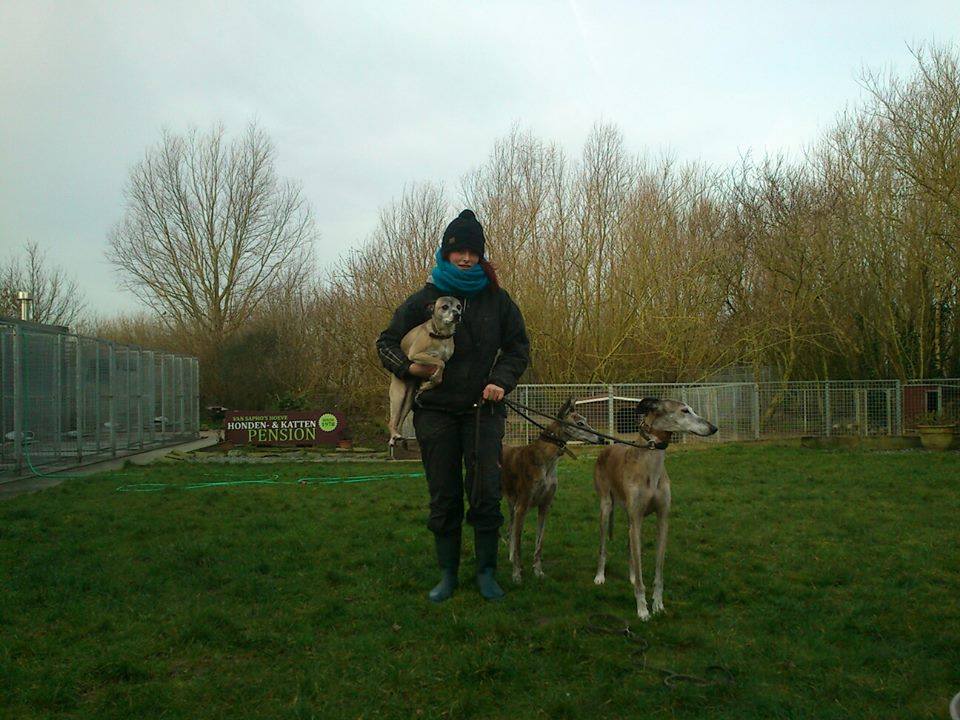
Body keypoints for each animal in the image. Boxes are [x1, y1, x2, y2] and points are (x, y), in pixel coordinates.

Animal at [390, 294, 464, 444]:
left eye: (458, 306)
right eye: (445, 307)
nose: (457, 314)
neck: (441, 336)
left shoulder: (444, 360)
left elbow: (441, 370)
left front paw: (428, 384)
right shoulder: (416, 354)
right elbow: (439, 363)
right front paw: (433, 379)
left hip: (408, 401)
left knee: (400, 420)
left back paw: (399, 435)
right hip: (398, 395)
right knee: (391, 420)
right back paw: (393, 436)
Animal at [596, 400, 716, 620]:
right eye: (684, 411)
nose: (713, 428)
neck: (651, 464)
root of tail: (607, 449)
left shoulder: (662, 520)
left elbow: (658, 569)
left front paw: (658, 605)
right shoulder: (636, 519)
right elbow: (640, 570)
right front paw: (642, 609)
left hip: (630, 518)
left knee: (629, 547)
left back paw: (632, 576)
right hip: (606, 507)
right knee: (603, 547)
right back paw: (600, 576)